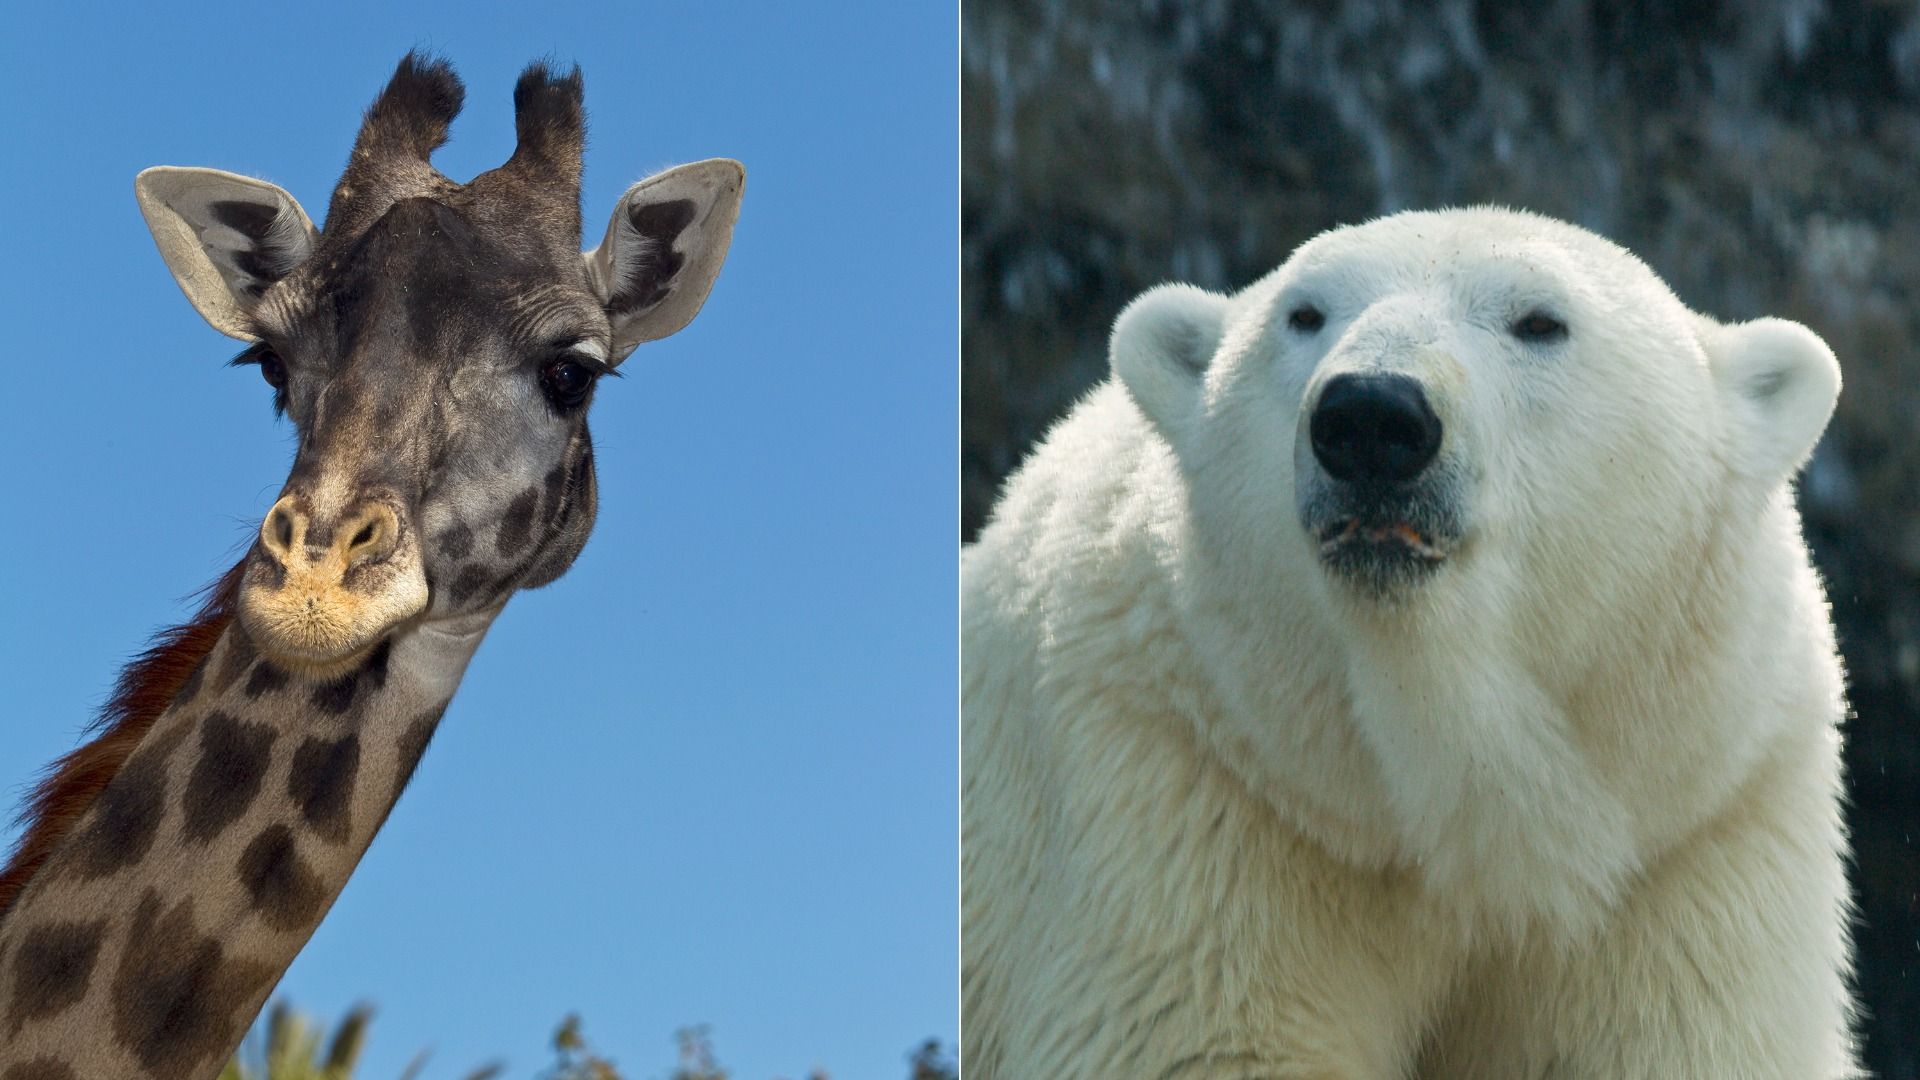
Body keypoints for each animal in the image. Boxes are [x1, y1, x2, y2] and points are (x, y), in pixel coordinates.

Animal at [962, 208, 1857, 1079]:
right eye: (1304, 313)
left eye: (1540, 321)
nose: (1370, 416)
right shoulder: (1201, 789)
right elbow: (1204, 1041)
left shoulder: (1695, 821)